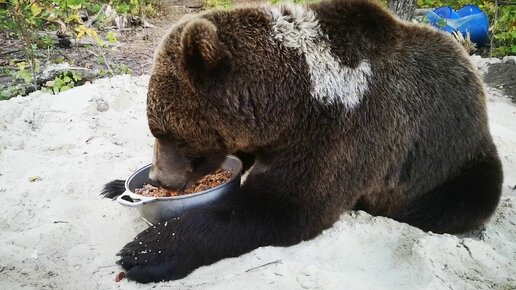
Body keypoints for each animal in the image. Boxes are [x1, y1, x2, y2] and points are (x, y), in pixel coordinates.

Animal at [100, 0, 500, 282]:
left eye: (168, 133)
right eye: (157, 130)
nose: (159, 178)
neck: (295, 101)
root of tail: (474, 78)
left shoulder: (346, 130)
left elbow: (287, 205)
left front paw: (146, 251)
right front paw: (115, 184)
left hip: (457, 158)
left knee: (457, 201)